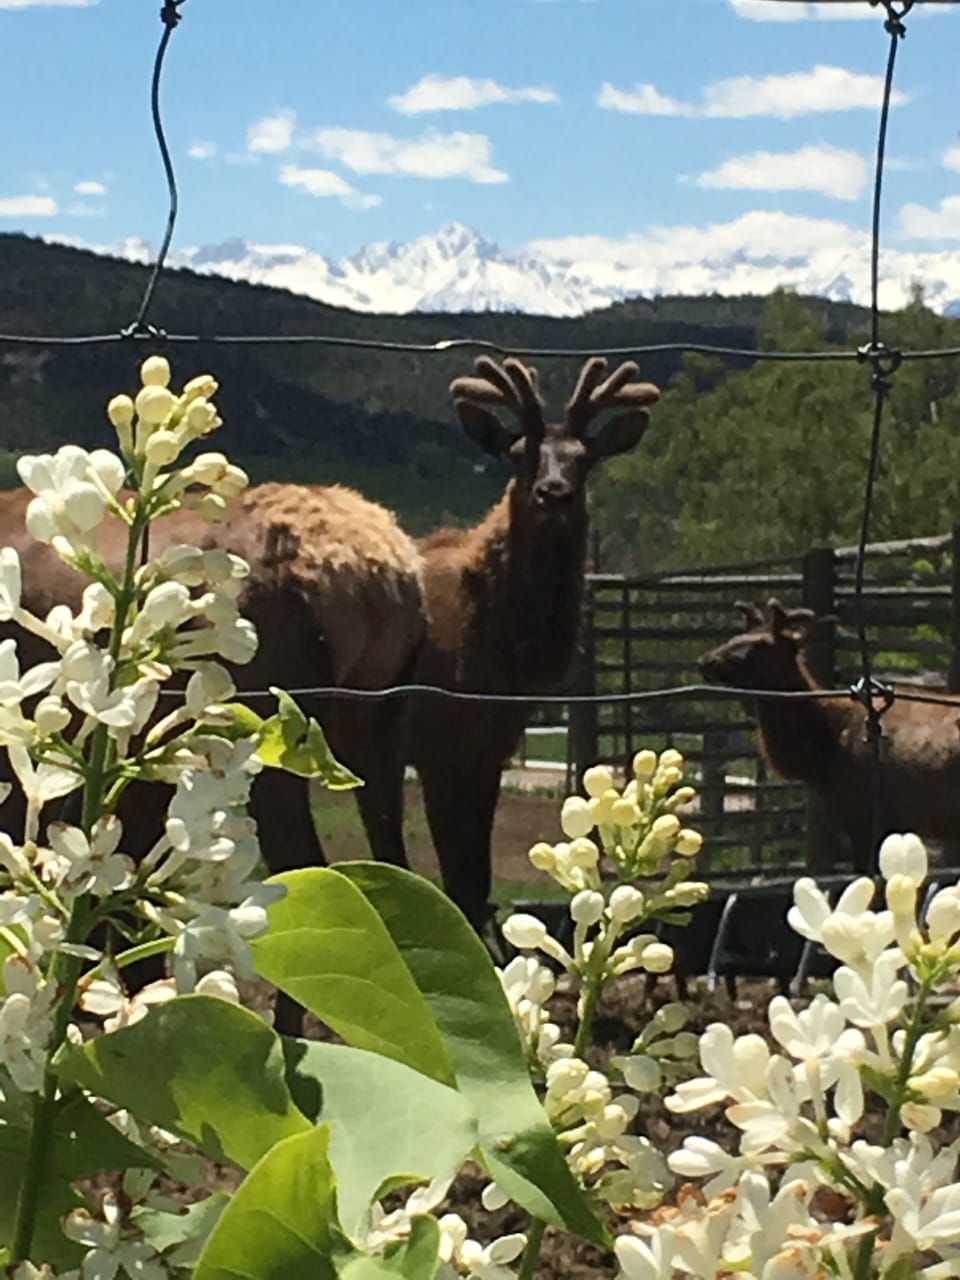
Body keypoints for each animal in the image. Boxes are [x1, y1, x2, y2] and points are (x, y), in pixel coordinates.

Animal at [406, 355, 660, 932]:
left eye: (584, 459)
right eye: (519, 453)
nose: (554, 492)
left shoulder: (491, 749)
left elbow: (475, 883)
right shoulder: (437, 742)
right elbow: (456, 882)